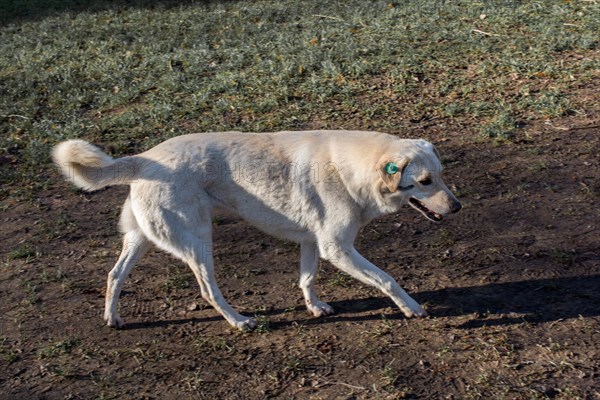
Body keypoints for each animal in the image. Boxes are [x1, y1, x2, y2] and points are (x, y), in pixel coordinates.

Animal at [54, 131, 462, 332]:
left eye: (441, 175)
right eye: (424, 182)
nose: (458, 207)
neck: (351, 168)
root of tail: (145, 159)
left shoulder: (313, 242)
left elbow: (307, 278)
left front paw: (315, 307)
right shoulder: (337, 248)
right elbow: (387, 279)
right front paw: (412, 308)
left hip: (142, 240)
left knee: (114, 275)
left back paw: (113, 318)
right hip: (198, 243)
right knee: (208, 290)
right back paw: (239, 322)